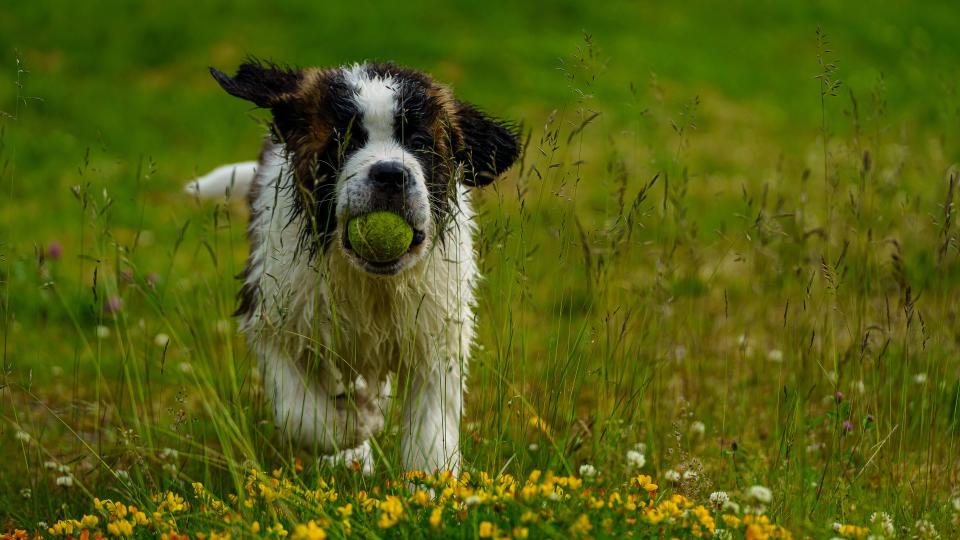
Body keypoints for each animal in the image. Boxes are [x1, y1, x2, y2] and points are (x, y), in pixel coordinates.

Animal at [187, 61, 516, 474]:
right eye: (343, 142)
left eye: (419, 142)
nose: (390, 174)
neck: (371, 281)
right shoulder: (272, 318)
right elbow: (300, 413)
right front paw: (356, 425)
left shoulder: (438, 331)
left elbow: (431, 430)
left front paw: (430, 481)